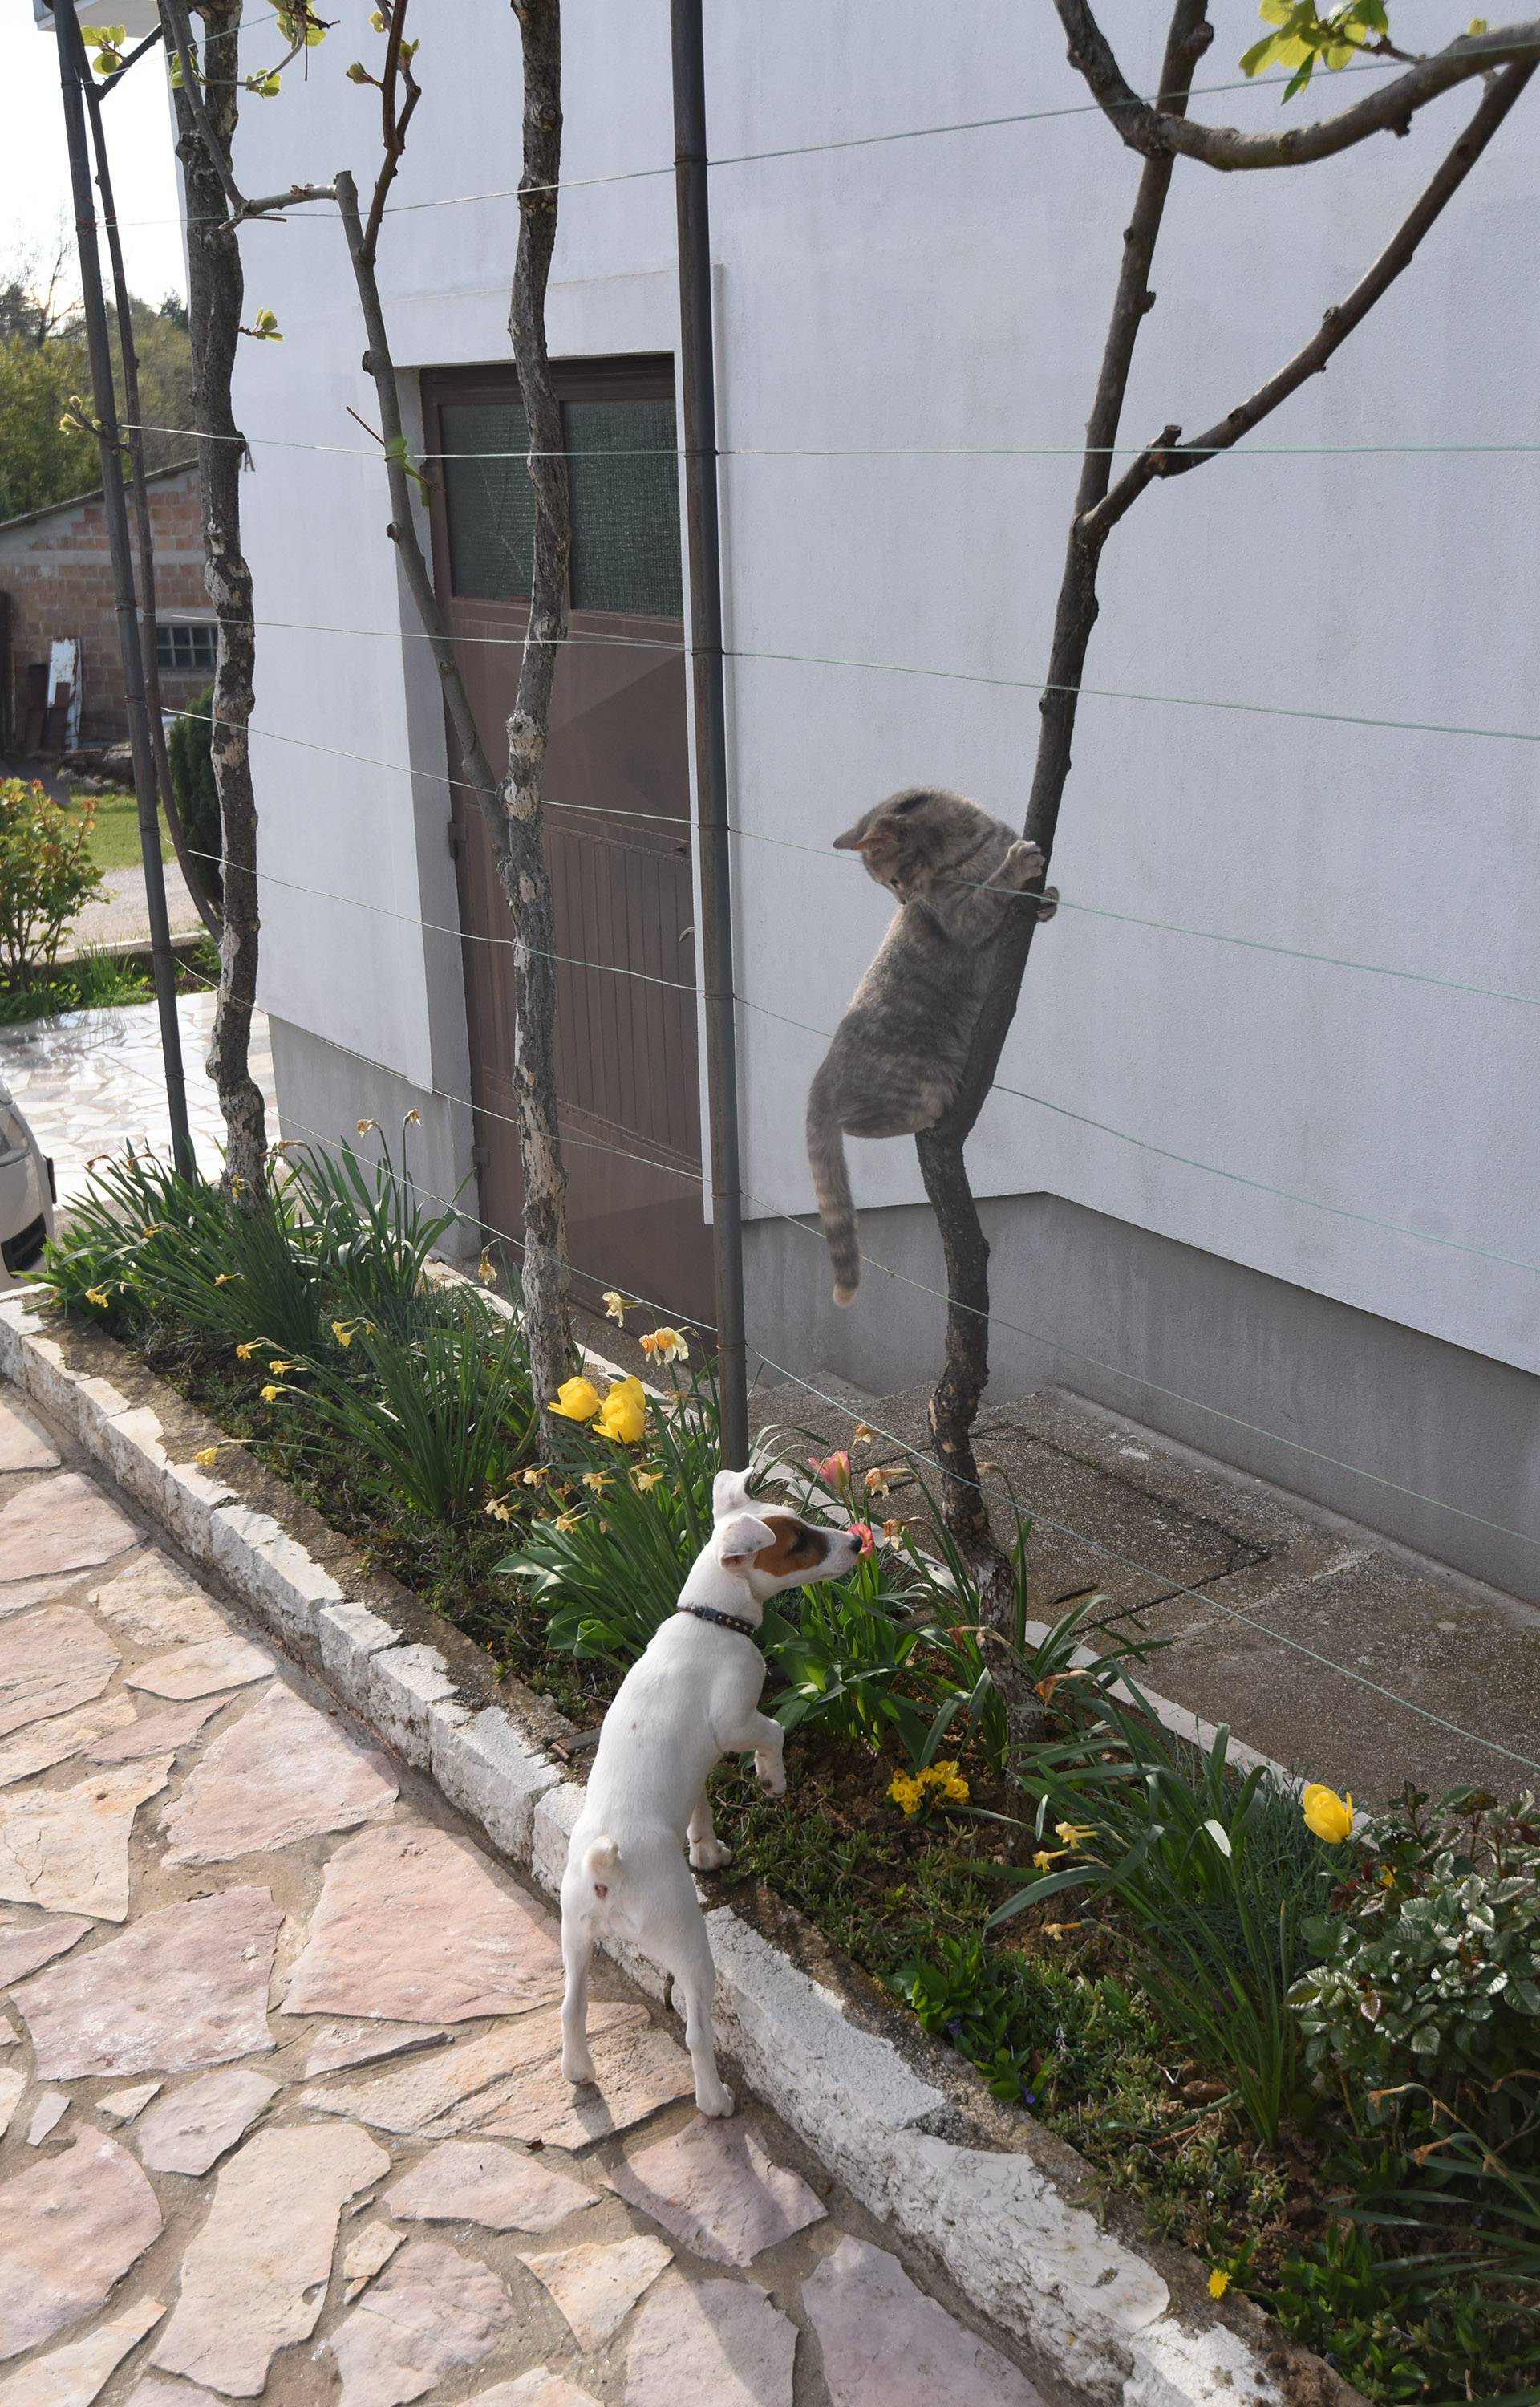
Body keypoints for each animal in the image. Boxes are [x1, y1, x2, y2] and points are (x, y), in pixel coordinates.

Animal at [558, 1454, 861, 2118]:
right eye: (798, 1543)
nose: (857, 1541)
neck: (710, 1618)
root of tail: (605, 1871)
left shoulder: (701, 1762)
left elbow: (699, 1807)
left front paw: (708, 1852)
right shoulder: (735, 1719)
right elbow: (774, 1730)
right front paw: (773, 1778)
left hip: (575, 1939)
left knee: (572, 2008)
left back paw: (578, 2072)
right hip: (688, 1946)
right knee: (697, 2028)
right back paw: (715, 2099)